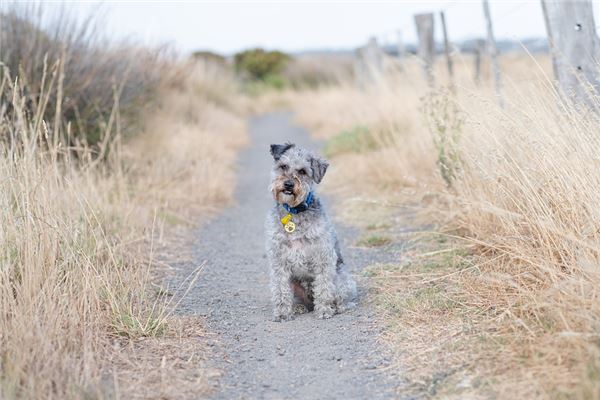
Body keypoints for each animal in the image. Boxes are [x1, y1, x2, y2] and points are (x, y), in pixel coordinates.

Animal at [264, 142, 356, 320]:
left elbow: (323, 287)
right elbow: (280, 289)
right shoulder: (279, 260)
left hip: (342, 279)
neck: (295, 212)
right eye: (283, 166)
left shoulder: (323, 256)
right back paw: (298, 307)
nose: (288, 184)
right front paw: (282, 313)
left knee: (339, 296)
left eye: (302, 171)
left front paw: (325, 310)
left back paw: (338, 307)